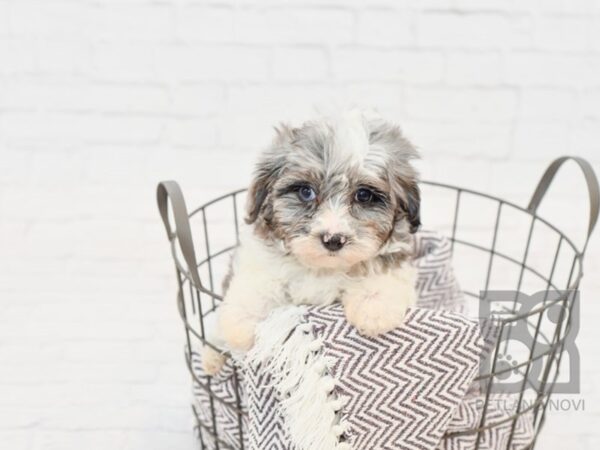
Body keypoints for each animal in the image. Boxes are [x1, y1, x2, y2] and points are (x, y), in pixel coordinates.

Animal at [204, 110, 420, 374]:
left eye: (364, 195)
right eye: (306, 192)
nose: (333, 239)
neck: (322, 268)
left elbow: (381, 270)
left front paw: (375, 307)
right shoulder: (260, 259)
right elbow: (257, 285)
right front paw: (241, 325)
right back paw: (212, 357)